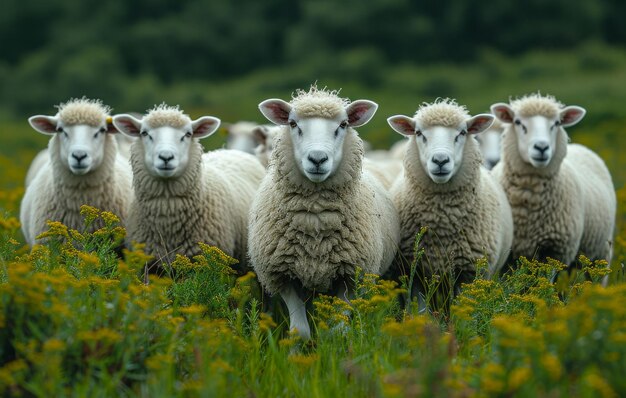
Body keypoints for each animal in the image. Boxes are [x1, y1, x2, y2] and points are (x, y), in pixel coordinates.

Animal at [247, 85, 398, 338]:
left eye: (343, 125)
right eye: (293, 124)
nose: (317, 159)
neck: (315, 219)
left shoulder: (351, 275)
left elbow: (338, 329)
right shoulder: (283, 275)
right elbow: (300, 330)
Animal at [386, 98, 512, 302]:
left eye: (462, 133)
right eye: (419, 133)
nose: (440, 160)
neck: (442, 222)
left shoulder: (469, 274)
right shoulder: (417, 272)